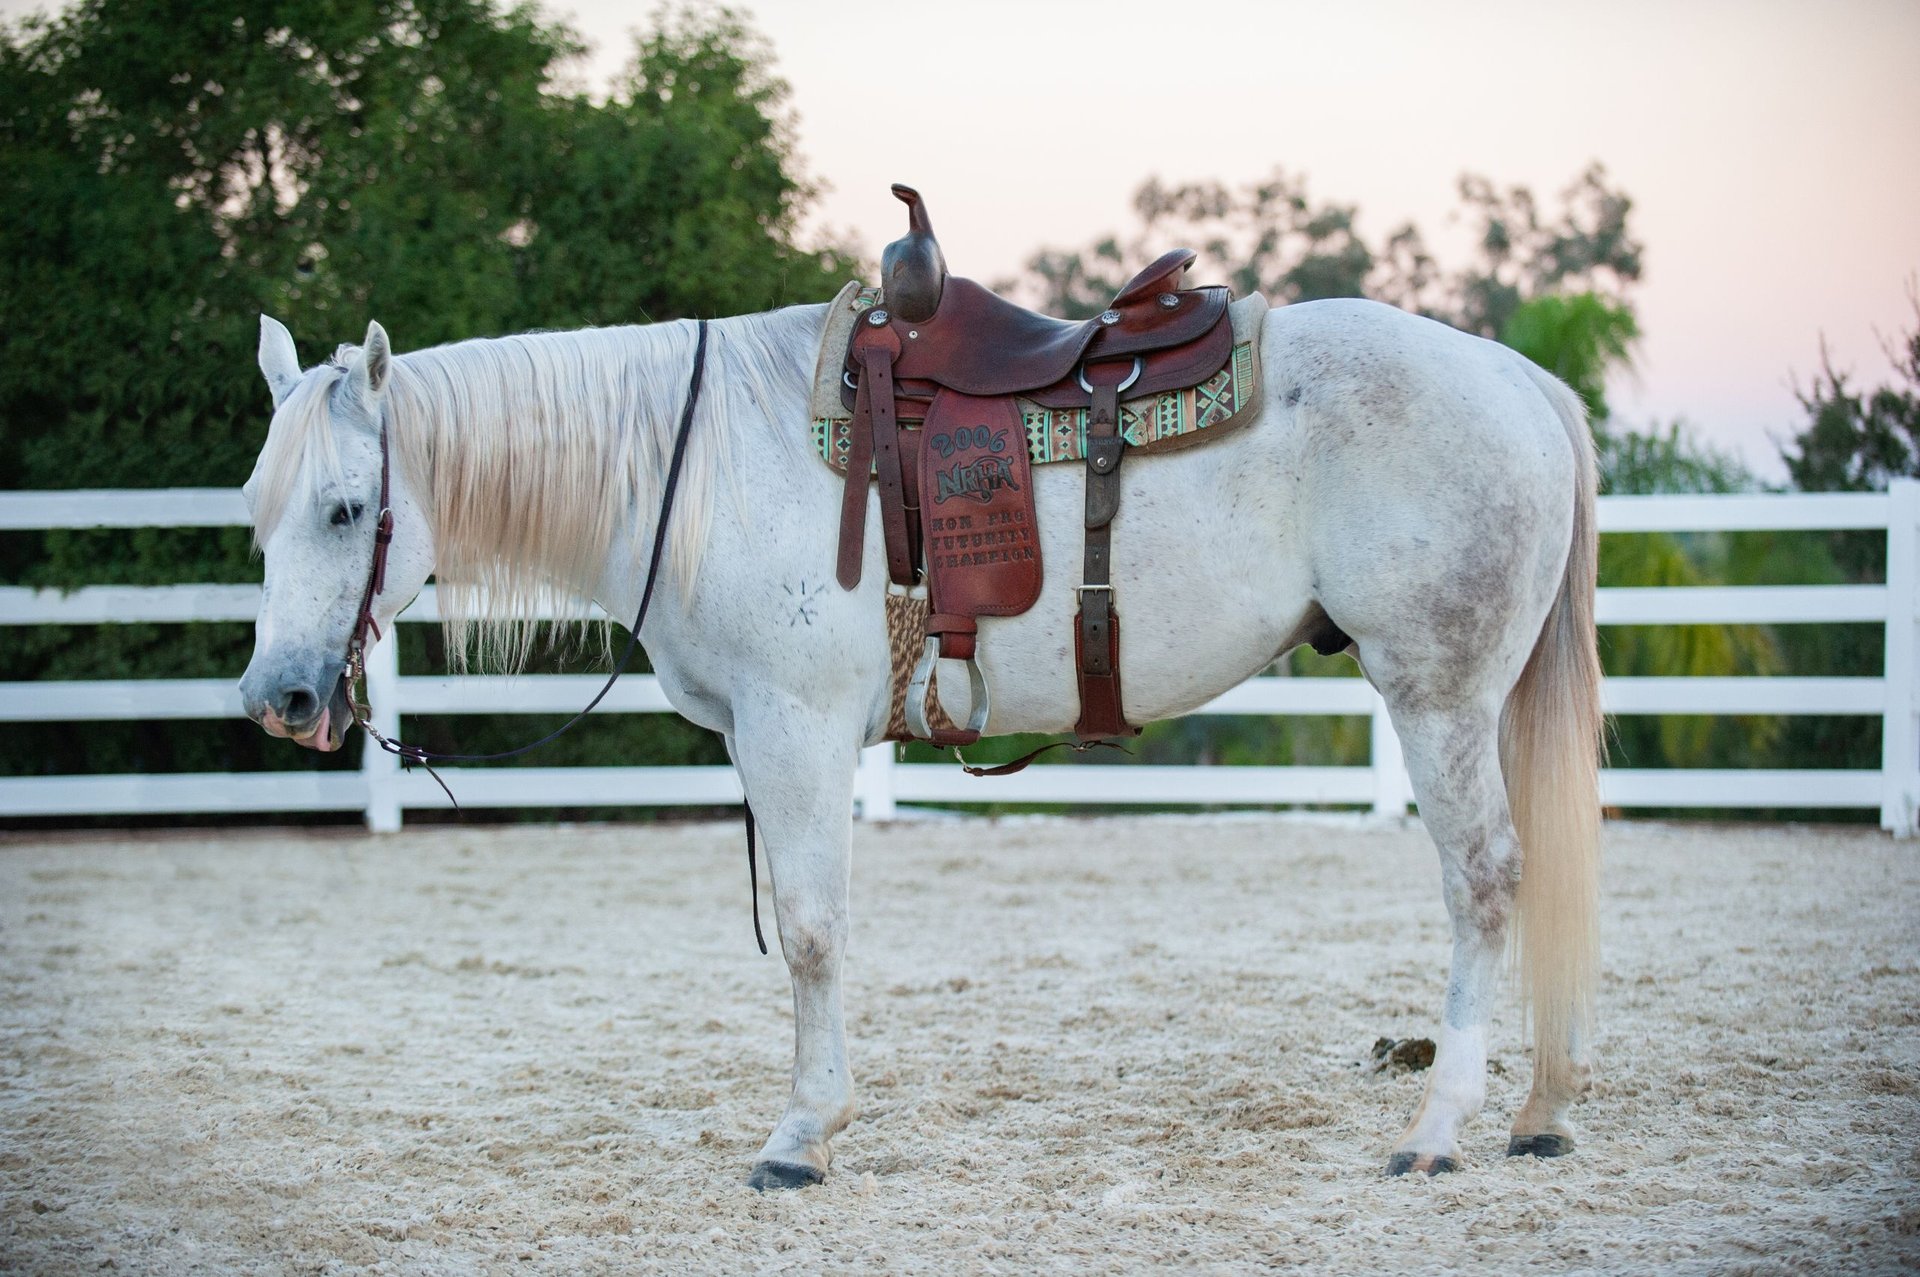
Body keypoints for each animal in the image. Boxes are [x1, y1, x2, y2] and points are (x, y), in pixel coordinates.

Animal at [237, 289, 1601, 1187]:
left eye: (347, 508)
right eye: (257, 512)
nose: (282, 696)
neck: (701, 471)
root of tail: (1517, 379)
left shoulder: (795, 733)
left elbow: (810, 931)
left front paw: (802, 1136)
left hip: (1437, 695)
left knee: (1486, 882)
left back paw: (1439, 1127)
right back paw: (1540, 1108)